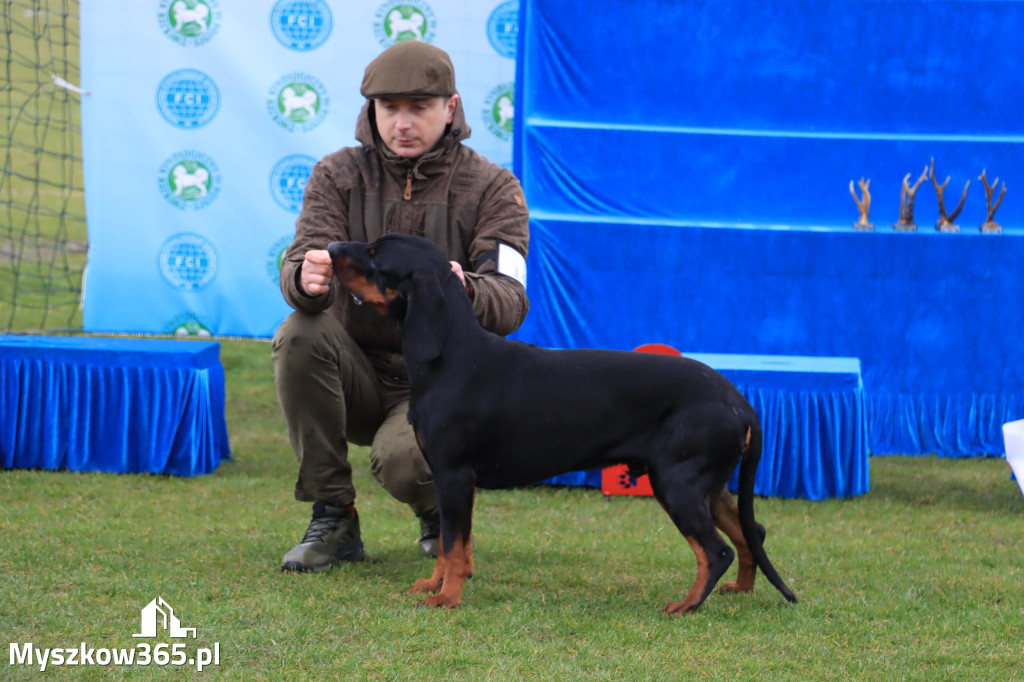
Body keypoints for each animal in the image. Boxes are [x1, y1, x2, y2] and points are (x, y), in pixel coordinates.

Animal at [325, 233, 790, 610]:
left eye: (374, 254)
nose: (329, 248)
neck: (451, 356)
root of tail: (739, 401)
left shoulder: (454, 475)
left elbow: (453, 547)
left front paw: (447, 598)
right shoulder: (451, 480)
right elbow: (450, 544)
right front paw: (434, 585)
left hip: (676, 482)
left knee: (715, 551)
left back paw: (686, 605)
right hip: (708, 484)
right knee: (753, 532)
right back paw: (740, 590)